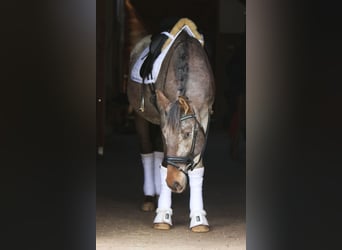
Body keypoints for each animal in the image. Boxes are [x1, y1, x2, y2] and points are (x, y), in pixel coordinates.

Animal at [127, 17, 215, 232]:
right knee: (148, 153)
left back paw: (159, 191)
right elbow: (163, 164)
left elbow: (197, 168)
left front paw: (199, 218)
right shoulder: (163, 119)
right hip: (142, 117)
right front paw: (163, 215)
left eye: (187, 134)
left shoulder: (203, 117)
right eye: (167, 134)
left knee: (158, 153)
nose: (173, 183)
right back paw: (150, 198)